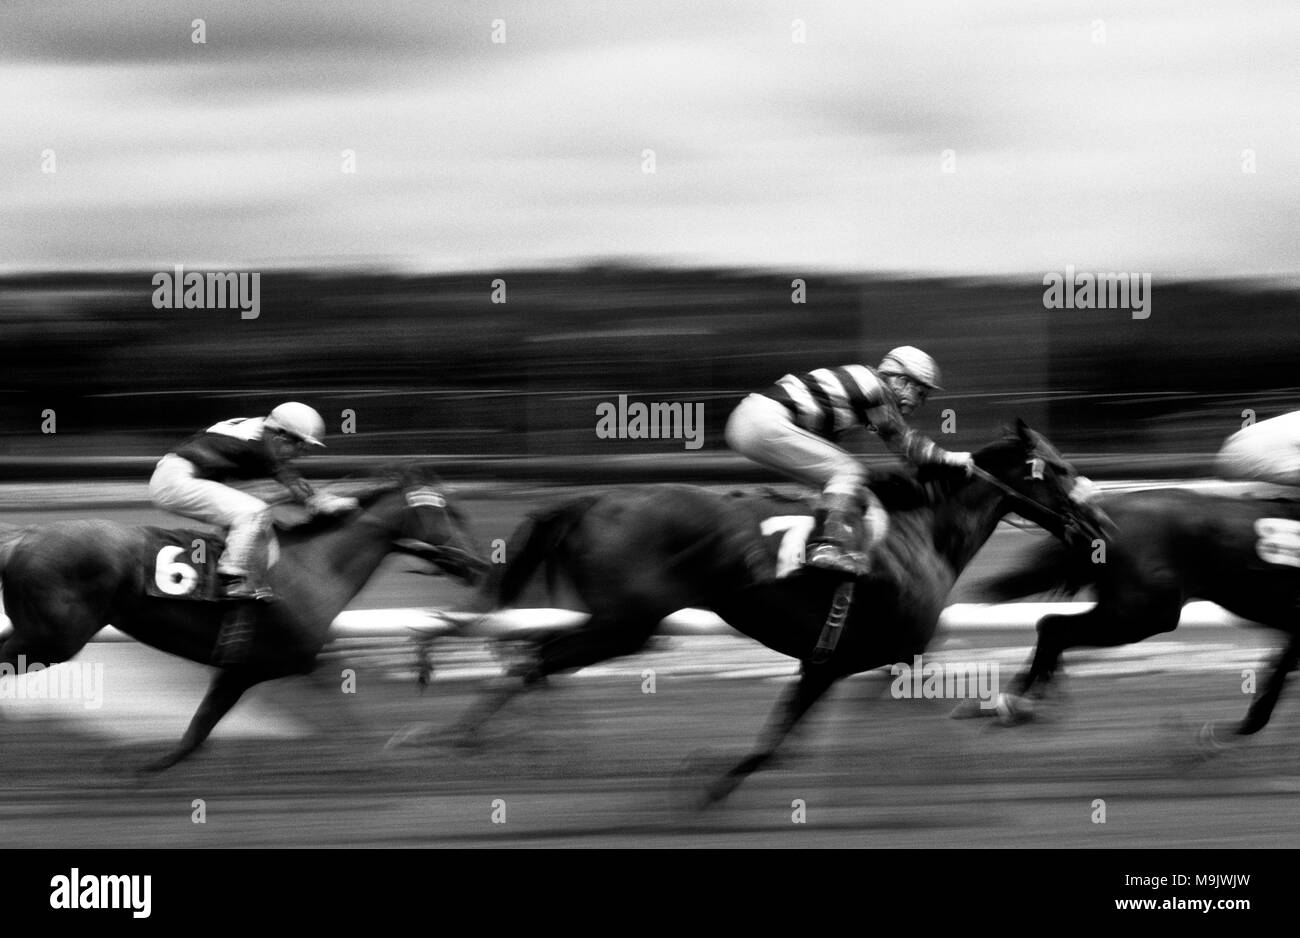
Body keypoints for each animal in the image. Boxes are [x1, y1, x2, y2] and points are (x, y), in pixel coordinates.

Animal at [0, 465, 486, 769]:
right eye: (452, 512)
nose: (480, 564)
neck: (317, 565)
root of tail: (26, 536)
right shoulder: (283, 663)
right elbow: (350, 724)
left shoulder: (245, 670)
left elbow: (195, 734)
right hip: (52, 639)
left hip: (40, 634)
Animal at [441, 420, 1102, 800]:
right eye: (1060, 469)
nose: (1095, 524)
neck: (923, 534)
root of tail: (589, 500)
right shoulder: (843, 658)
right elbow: (778, 738)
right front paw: (708, 782)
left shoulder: (862, 658)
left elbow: (793, 733)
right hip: (627, 624)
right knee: (534, 660)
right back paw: (469, 738)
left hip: (619, 624)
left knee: (534, 659)